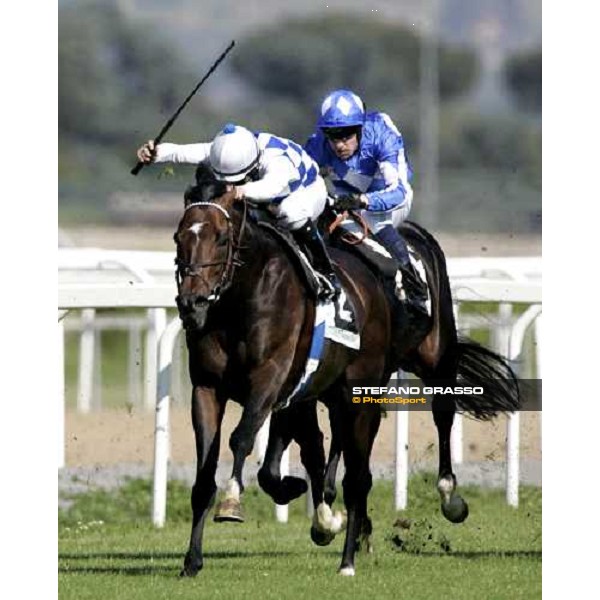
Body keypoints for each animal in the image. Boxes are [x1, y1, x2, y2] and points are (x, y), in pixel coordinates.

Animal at [175, 168, 520, 576]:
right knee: (342, 450)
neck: (241, 302)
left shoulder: (270, 379)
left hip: (422, 364)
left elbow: (242, 438)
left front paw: (233, 501)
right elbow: (212, 472)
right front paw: (193, 560)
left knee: (428, 424)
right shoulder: (211, 388)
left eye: (221, 237)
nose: (192, 302)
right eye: (179, 237)